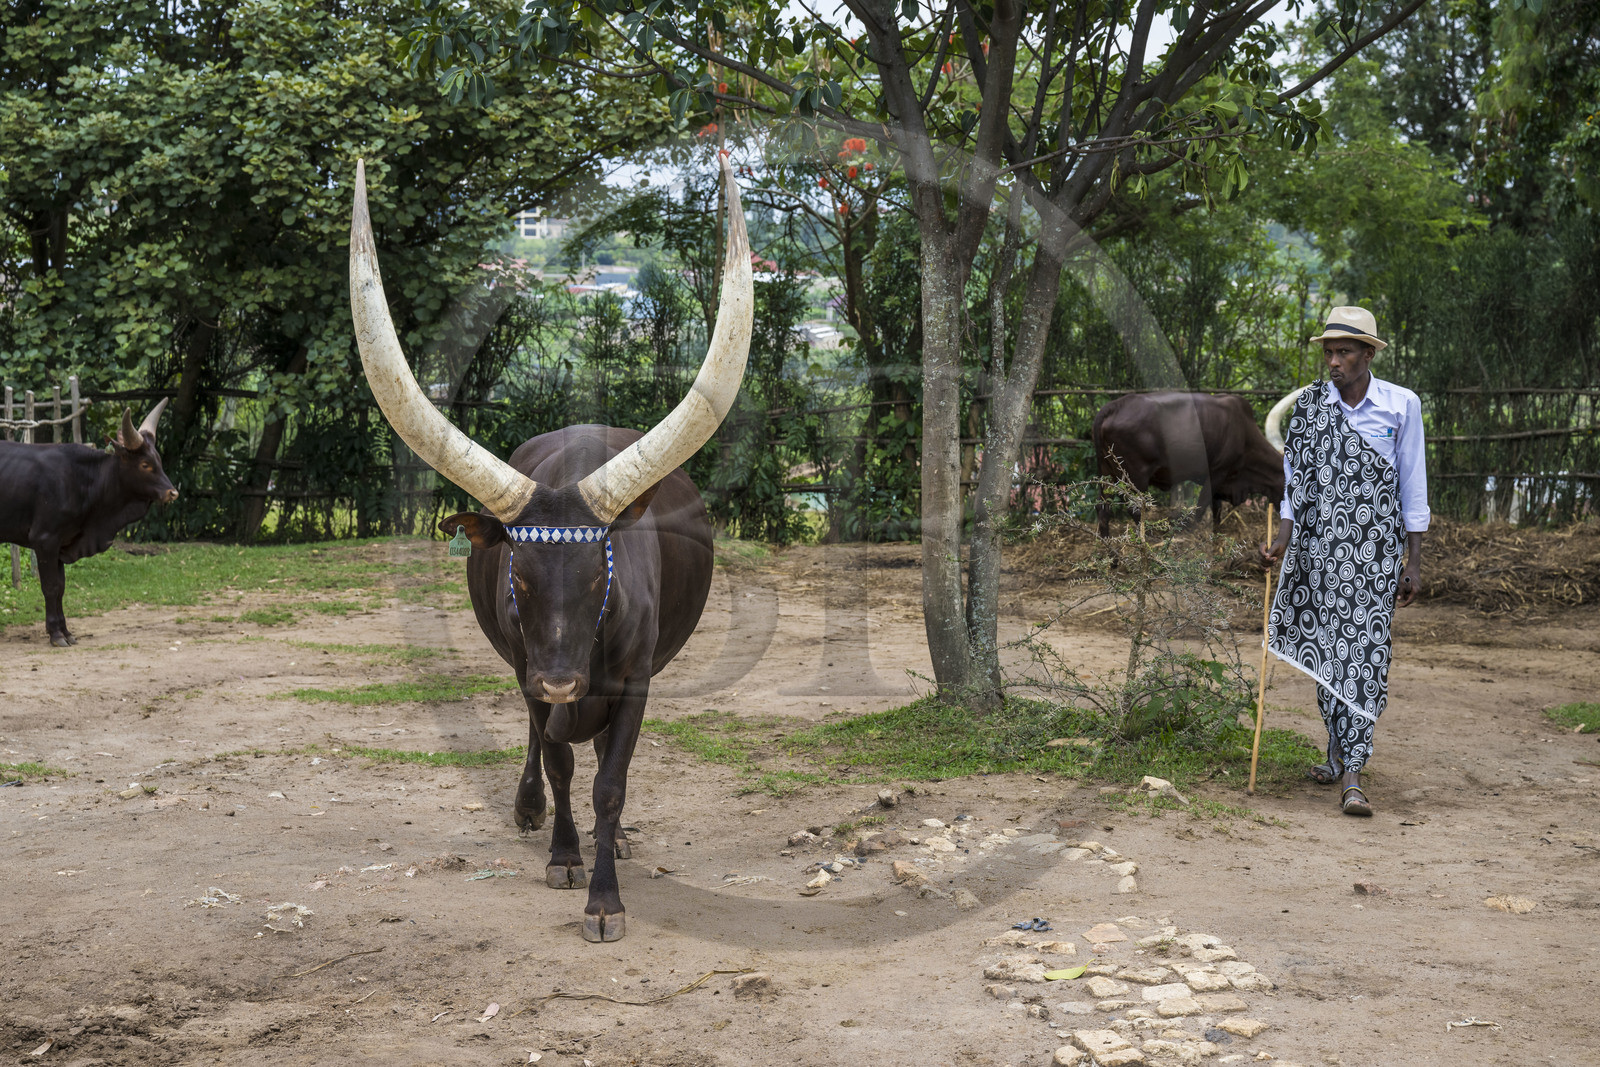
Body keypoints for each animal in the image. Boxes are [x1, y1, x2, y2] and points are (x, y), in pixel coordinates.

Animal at [0, 402, 177, 645]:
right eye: (144, 464)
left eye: (158, 460)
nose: (172, 493)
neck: (83, 480)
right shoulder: (45, 541)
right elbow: (50, 587)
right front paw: (56, 634)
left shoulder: (62, 544)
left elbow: (61, 587)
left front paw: (66, 632)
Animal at [348, 156, 751, 942]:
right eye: (520, 579)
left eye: (600, 580)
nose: (562, 681)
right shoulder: (527, 665)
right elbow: (563, 765)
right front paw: (566, 858)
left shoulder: (633, 680)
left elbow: (609, 783)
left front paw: (606, 894)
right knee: (544, 744)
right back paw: (531, 807)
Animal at [1092, 391, 1285, 537]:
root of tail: (1113, 407)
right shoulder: (1218, 472)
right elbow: (1200, 509)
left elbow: (1216, 509)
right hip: (1135, 477)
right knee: (1136, 511)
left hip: (1107, 474)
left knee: (1103, 510)